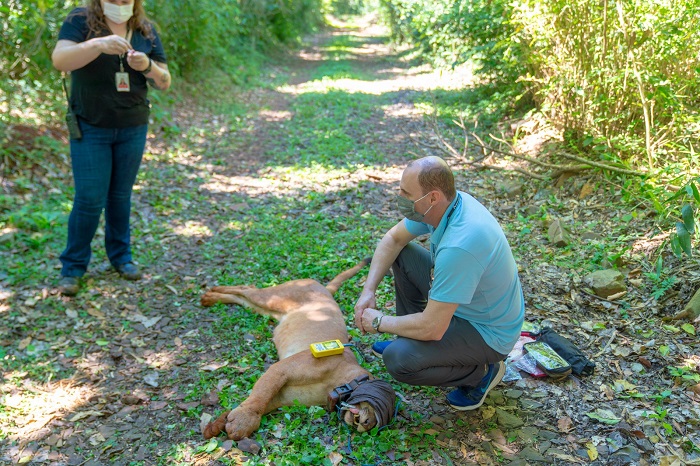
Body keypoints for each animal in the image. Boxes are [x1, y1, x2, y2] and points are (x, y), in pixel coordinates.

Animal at [197, 258, 382, 440]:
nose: (368, 424)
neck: (336, 384)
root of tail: (324, 289)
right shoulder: (280, 369)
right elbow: (260, 396)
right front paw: (244, 420)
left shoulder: (281, 396)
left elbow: (257, 400)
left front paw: (218, 425)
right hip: (271, 298)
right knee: (246, 288)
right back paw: (211, 293)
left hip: (264, 308)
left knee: (242, 297)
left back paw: (211, 298)